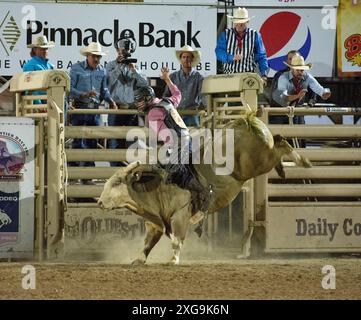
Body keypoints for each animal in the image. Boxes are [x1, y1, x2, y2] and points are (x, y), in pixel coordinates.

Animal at [97, 115, 310, 264]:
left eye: (117, 182)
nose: (99, 202)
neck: (156, 186)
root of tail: (244, 121)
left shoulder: (180, 216)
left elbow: (176, 240)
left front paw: (173, 260)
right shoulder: (155, 223)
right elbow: (147, 243)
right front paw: (139, 259)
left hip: (259, 162)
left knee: (279, 143)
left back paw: (302, 161)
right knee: (278, 140)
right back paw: (284, 168)